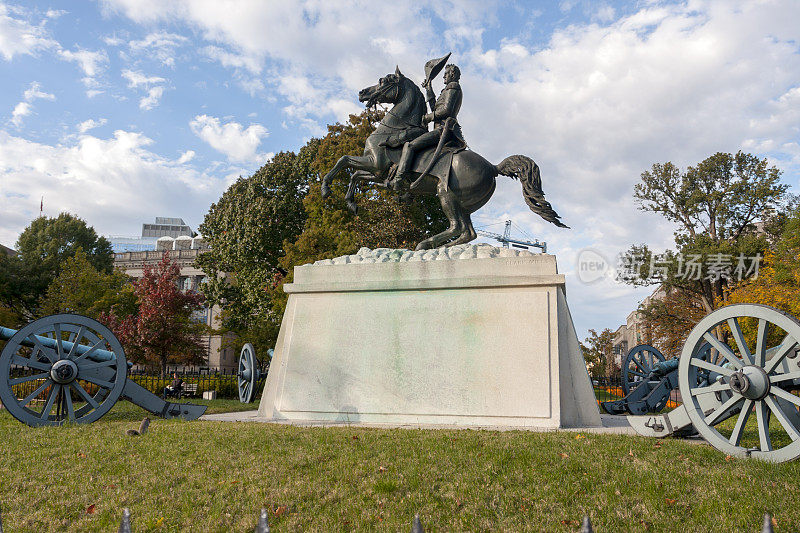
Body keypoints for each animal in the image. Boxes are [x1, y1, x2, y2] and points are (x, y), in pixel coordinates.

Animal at [320, 67, 568, 249]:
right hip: (464, 203)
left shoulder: (376, 164)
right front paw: (351, 203)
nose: (362, 92)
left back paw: (425, 245)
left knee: (457, 227)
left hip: (445, 193)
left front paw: (326, 188)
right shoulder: (377, 173)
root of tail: (492, 167)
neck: (393, 128)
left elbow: (343, 160)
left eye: (383, 80)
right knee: (468, 233)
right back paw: (442, 248)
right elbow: (354, 174)